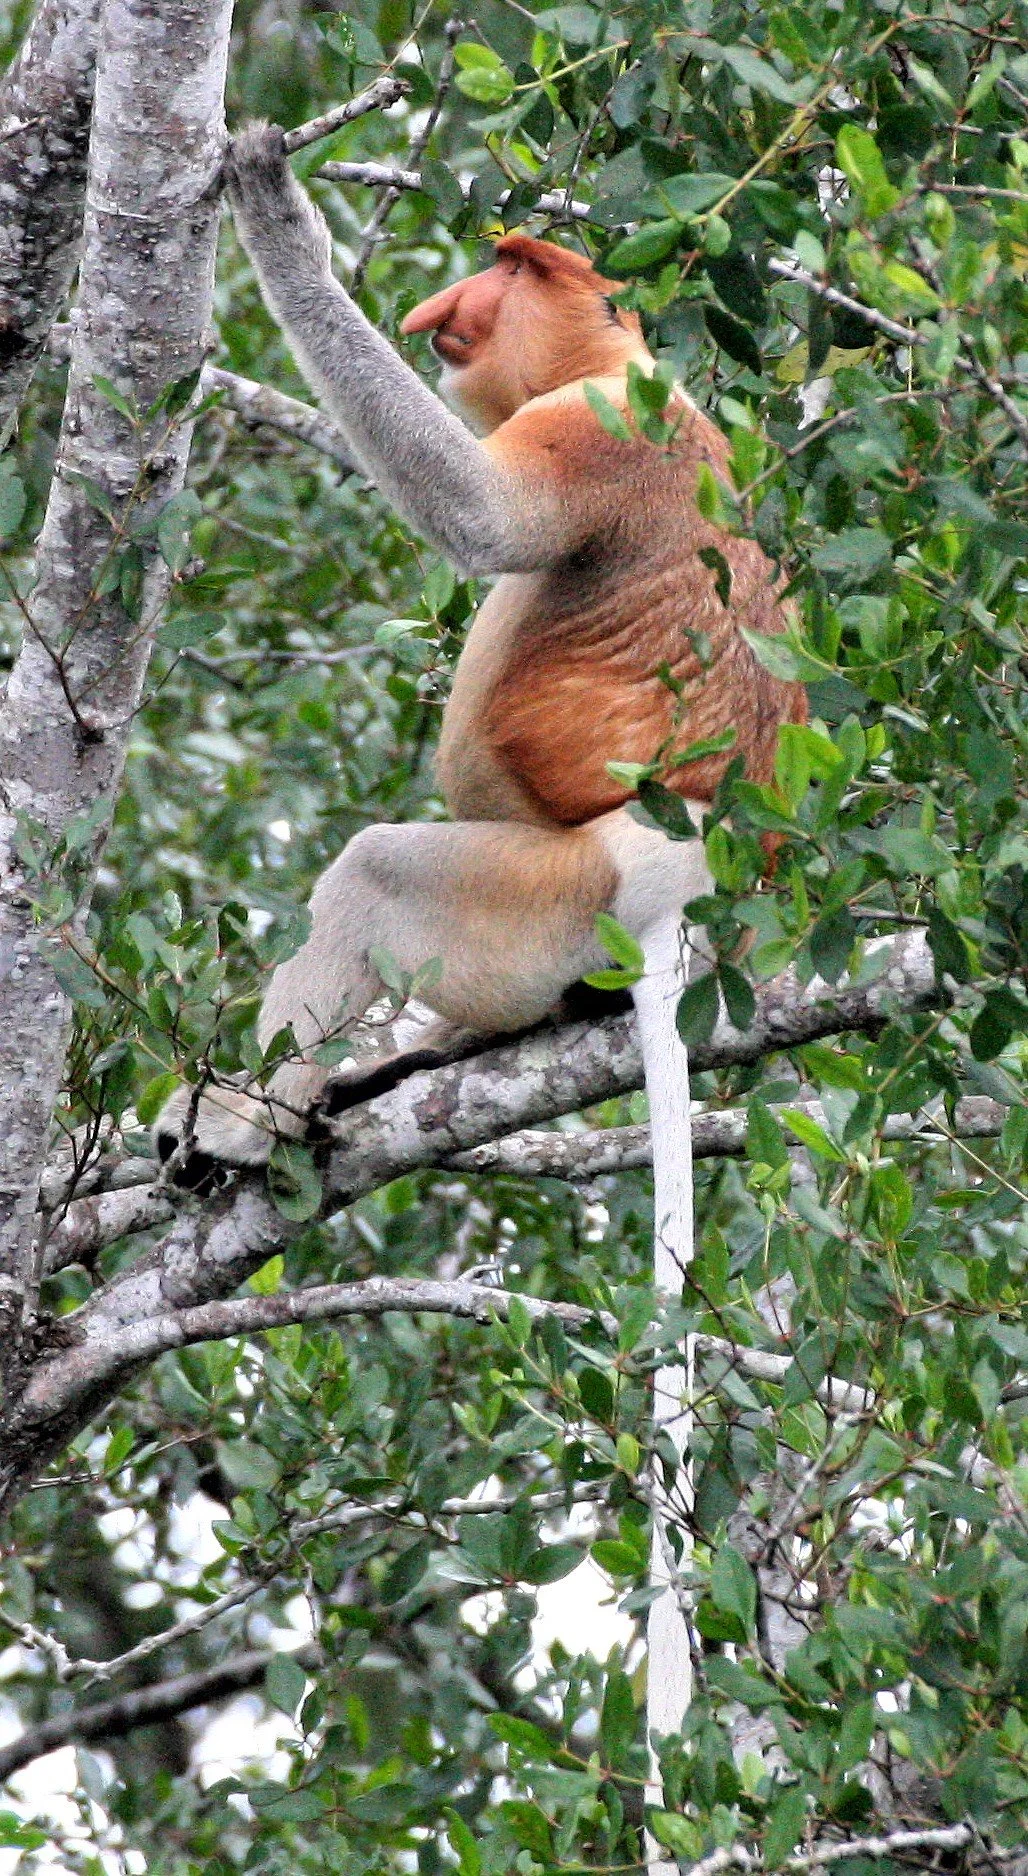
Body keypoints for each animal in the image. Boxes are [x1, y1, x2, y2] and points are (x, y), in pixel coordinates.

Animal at [153, 123, 805, 1773]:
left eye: (506, 270)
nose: (443, 305)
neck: (641, 363)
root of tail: (675, 885)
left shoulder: (597, 431)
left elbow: (483, 521)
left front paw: (282, 217)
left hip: (550, 892)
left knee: (378, 871)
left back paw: (240, 1122)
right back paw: (366, 1088)